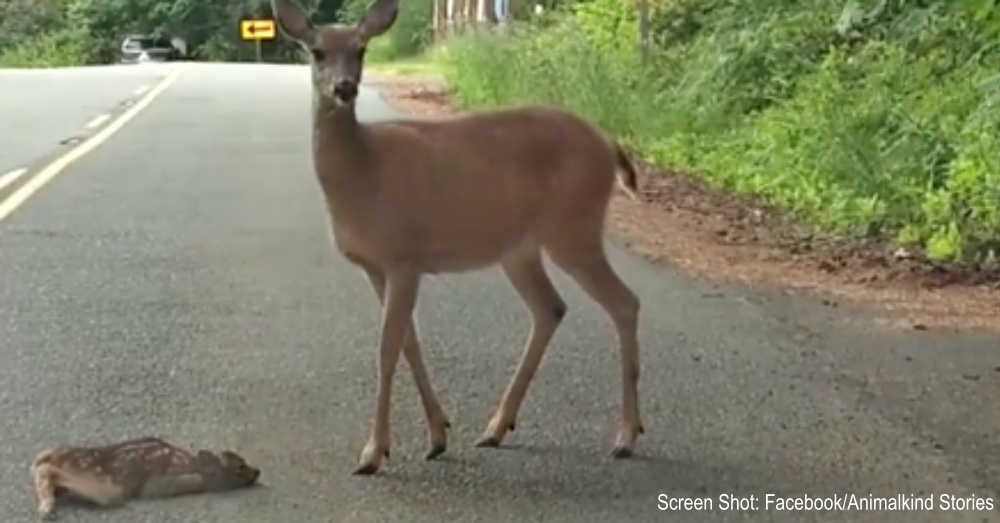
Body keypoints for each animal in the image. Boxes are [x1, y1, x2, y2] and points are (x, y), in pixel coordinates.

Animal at [30, 437, 260, 519]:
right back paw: (46, 509)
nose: (257, 471)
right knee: (45, 469)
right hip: (109, 488)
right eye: (240, 467)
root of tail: (57, 454)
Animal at [271, 0, 645, 476]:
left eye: (361, 49)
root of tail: (609, 144)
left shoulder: (404, 256)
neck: (362, 173)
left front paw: (373, 452)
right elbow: (408, 342)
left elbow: (387, 348)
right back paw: (496, 428)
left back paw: (626, 437)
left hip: (573, 228)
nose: (344, 88)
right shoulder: (376, 266)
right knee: (551, 308)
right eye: (317, 51)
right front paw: (436, 437)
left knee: (624, 303)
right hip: (520, 249)